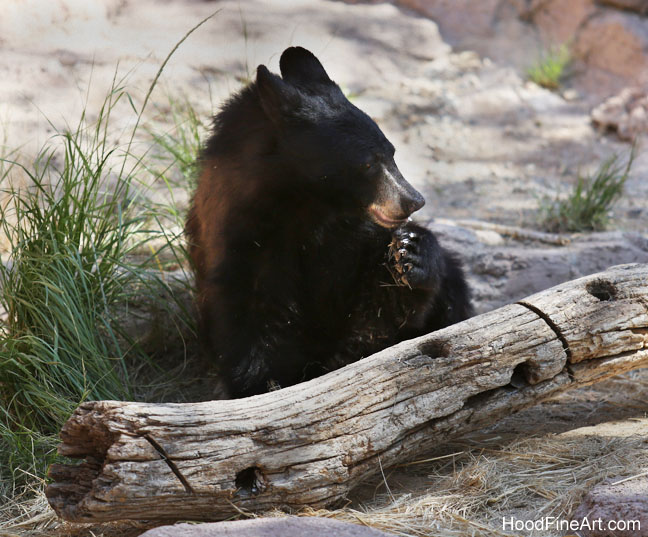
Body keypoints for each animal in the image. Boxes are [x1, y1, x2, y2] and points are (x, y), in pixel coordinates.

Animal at [186, 46, 472, 398]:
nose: (413, 199)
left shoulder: (354, 237)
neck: (307, 209)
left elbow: (380, 306)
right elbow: (252, 315)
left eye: (392, 152)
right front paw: (264, 382)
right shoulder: (244, 241)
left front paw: (410, 253)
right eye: (367, 163)